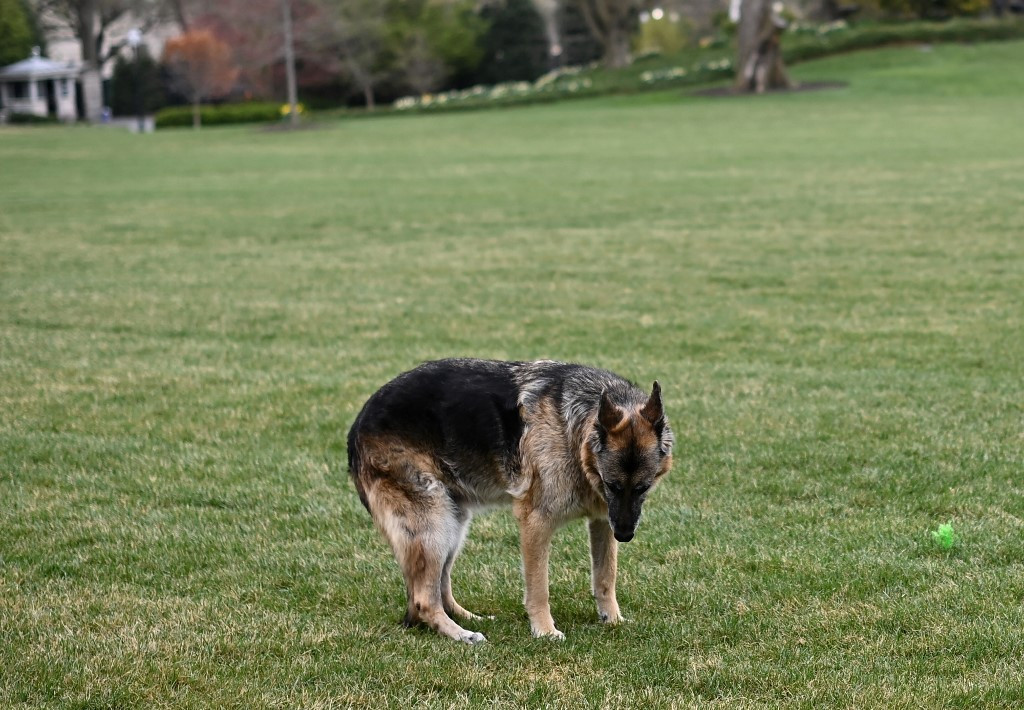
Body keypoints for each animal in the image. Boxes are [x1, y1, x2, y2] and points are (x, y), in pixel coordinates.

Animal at [348, 360, 675, 643]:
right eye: (612, 485)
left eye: (644, 487)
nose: (625, 535)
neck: (573, 428)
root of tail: (355, 428)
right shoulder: (536, 523)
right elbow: (539, 587)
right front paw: (544, 631)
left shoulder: (602, 521)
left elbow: (606, 576)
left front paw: (613, 620)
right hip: (434, 525)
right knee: (423, 600)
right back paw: (461, 635)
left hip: (453, 524)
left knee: (439, 587)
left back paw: (468, 618)